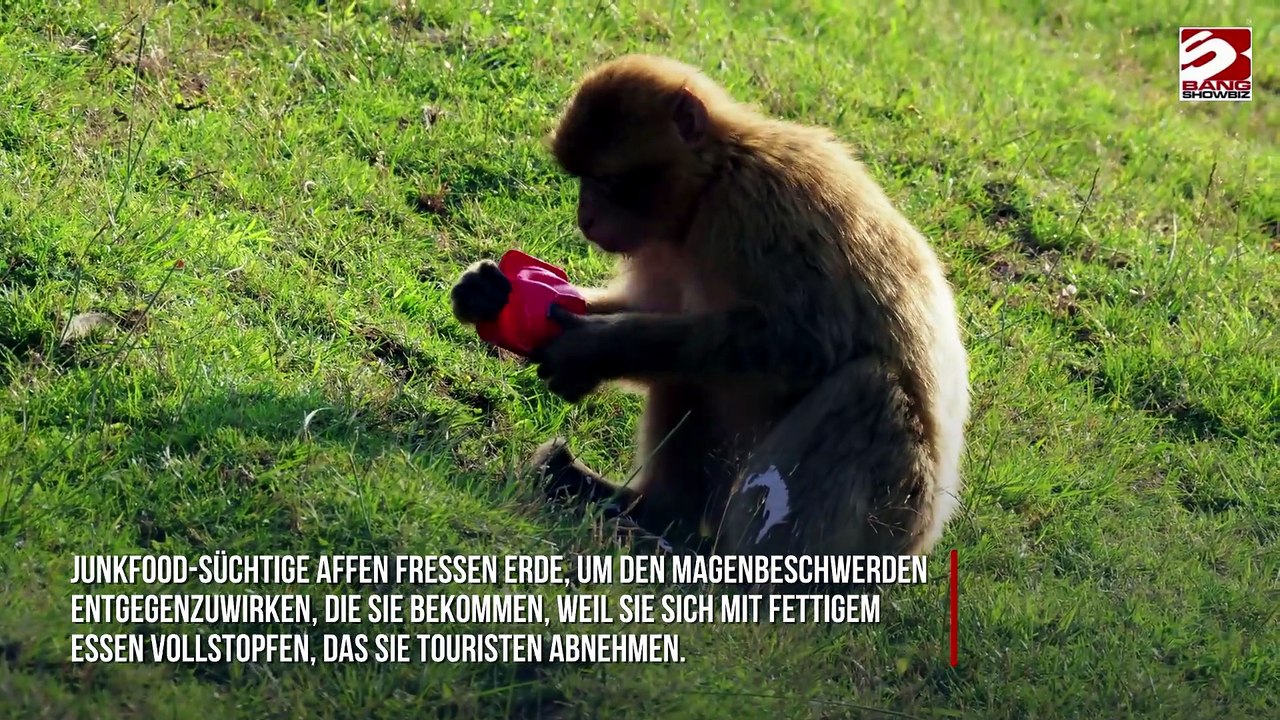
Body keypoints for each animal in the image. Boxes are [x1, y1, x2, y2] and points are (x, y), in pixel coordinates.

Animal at [450, 55, 970, 591]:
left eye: (608, 181)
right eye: (581, 179)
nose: (585, 217)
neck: (708, 187)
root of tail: (921, 544)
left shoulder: (761, 207)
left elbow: (803, 344)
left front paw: (595, 348)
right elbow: (660, 314)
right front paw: (491, 297)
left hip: (889, 522)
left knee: (866, 388)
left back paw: (749, 573)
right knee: (691, 373)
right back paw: (651, 514)